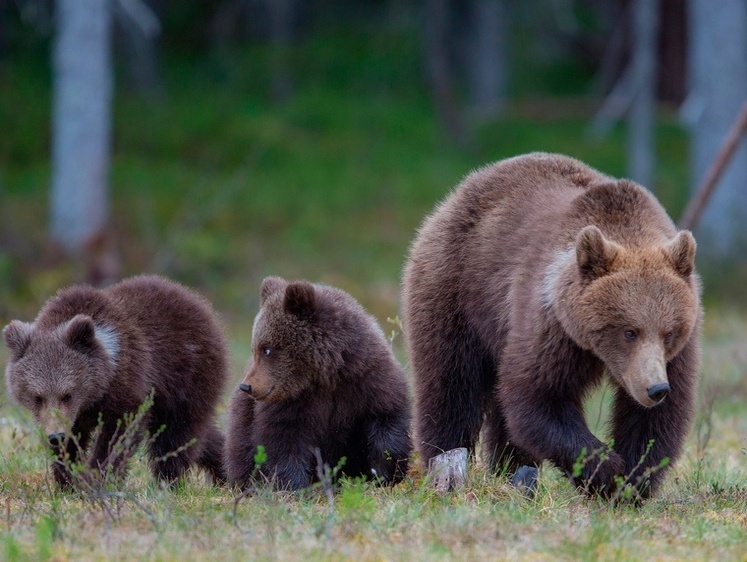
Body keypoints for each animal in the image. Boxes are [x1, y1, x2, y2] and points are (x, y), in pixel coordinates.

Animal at [404, 152, 700, 494]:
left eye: (669, 333)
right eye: (629, 331)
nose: (655, 388)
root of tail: (463, 188)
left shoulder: (676, 352)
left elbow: (656, 420)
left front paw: (630, 480)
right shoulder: (552, 327)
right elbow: (540, 397)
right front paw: (604, 468)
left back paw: (511, 471)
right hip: (458, 288)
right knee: (452, 382)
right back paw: (445, 464)